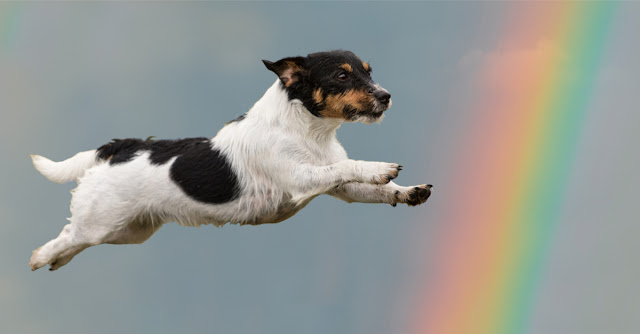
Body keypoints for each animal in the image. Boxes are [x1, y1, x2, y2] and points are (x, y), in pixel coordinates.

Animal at [28, 50, 430, 272]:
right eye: (342, 75)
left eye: (368, 71)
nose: (386, 96)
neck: (308, 131)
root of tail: (120, 147)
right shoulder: (302, 179)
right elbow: (346, 166)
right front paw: (379, 167)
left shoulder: (340, 189)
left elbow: (373, 189)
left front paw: (407, 190)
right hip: (100, 222)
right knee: (66, 235)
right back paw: (40, 256)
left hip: (129, 231)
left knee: (75, 242)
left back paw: (57, 260)